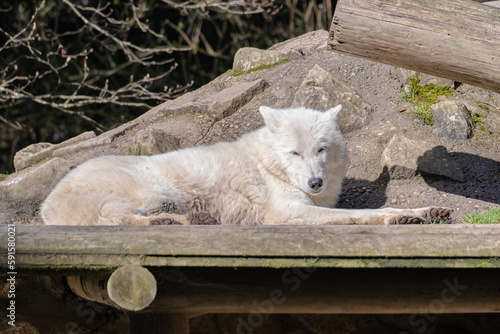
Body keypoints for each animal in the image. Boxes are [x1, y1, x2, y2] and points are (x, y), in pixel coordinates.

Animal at [42, 105, 450, 226]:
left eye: (320, 150)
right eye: (294, 153)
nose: (315, 184)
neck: (268, 167)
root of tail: (47, 203)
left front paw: (424, 213)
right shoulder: (288, 212)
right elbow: (360, 216)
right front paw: (403, 216)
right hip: (156, 190)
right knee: (119, 220)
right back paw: (176, 223)